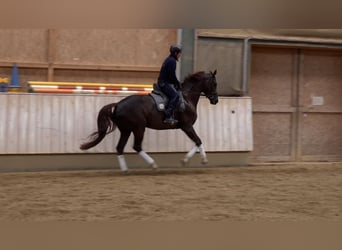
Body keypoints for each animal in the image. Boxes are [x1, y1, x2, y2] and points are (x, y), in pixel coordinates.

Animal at [80, 71, 218, 172]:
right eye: (214, 83)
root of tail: (118, 104)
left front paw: (186, 160)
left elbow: (196, 142)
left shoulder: (186, 127)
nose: (215, 100)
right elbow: (198, 140)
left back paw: (125, 170)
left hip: (126, 130)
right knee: (137, 146)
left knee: (120, 148)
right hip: (139, 128)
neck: (186, 98)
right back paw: (153, 165)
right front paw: (201, 160)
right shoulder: (187, 126)